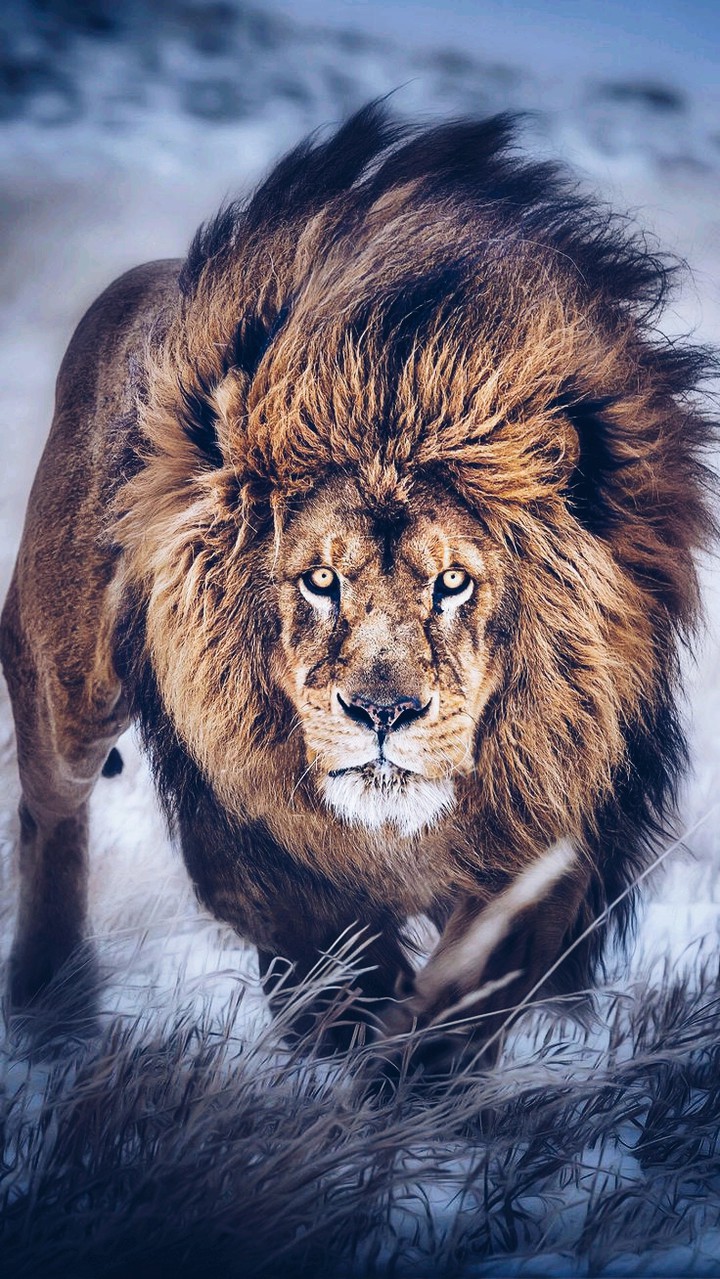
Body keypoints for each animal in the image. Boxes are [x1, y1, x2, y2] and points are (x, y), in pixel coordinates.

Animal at [1, 104, 715, 1067]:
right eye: (319, 579)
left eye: (452, 581)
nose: (382, 713)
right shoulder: (255, 840)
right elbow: (339, 964)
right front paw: (351, 1054)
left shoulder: (553, 834)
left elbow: (467, 991)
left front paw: (408, 1070)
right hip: (67, 684)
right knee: (52, 813)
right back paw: (51, 1008)